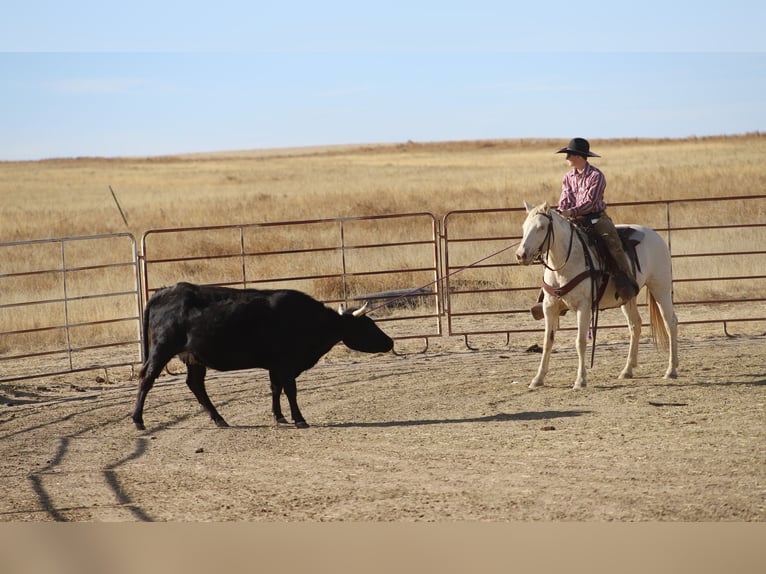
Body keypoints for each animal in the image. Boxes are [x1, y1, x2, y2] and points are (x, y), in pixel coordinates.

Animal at [131, 284, 392, 432]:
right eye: (368, 325)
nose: (390, 342)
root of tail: (164, 293)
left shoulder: (276, 365)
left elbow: (275, 388)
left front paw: (279, 416)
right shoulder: (286, 364)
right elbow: (290, 390)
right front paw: (299, 419)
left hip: (194, 358)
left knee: (196, 385)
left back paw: (219, 419)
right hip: (162, 350)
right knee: (147, 379)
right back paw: (138, 420)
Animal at [516, 202, 680, 392]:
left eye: (541, 227)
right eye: (524, 227)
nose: (520, 255)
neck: (565, 264)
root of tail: (656, 236)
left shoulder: (584, 306)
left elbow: (580, 342)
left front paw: (580, 380)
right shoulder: (550, 308)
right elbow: (547, 342)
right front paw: (538, 379)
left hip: (660, 287)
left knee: (670, 322)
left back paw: (671, 370)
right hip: (628, 298)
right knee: (635, 325)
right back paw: (627, 370)